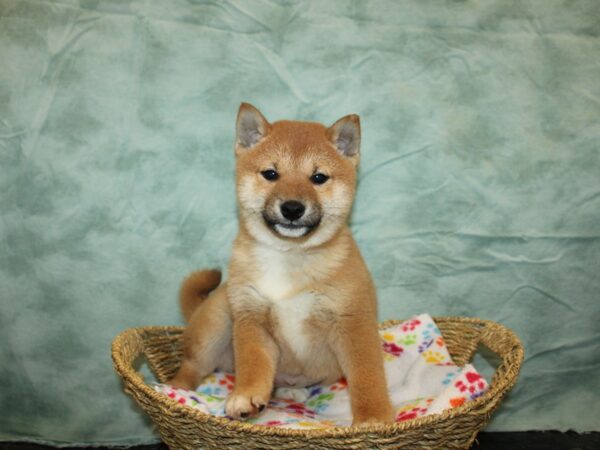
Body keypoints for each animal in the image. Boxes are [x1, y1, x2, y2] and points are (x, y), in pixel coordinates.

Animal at [169, 103, 394, 426]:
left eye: (319, 178)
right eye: (271, 174)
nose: (292, 208)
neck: (290, 256)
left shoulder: (353, 321)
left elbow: (367, 375)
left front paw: (373, 417)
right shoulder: (251, 317)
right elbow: (253, 364)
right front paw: (246, 396)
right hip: (218, 320)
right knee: (191, 366)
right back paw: (174, 390)